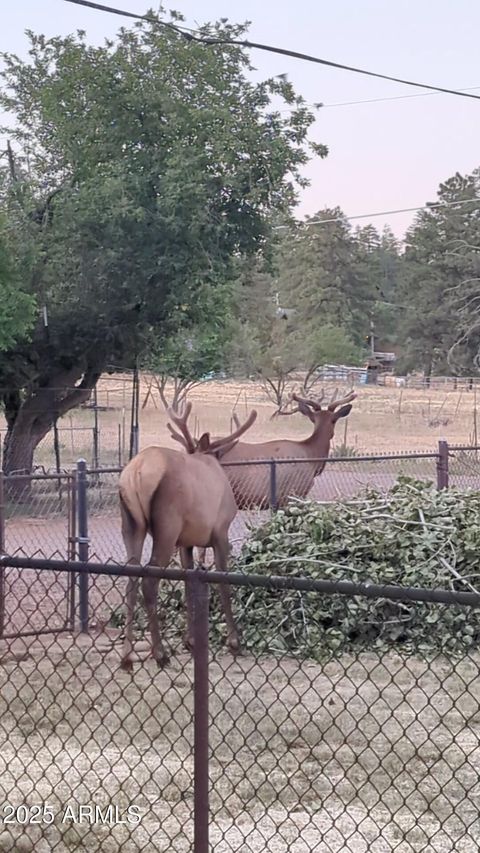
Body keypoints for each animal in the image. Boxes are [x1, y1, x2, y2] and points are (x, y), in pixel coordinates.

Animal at [118, 402, 256, 668]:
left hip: (131, 525)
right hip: (166, 527)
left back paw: (127, 655)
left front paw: (190, 640)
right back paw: (160, 653)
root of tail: (135, 474)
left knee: (131, 579)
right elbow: (223, 582)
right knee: (149, 582)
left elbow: (188, 584)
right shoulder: (220, 532)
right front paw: (234, 642)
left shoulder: (186, 542)